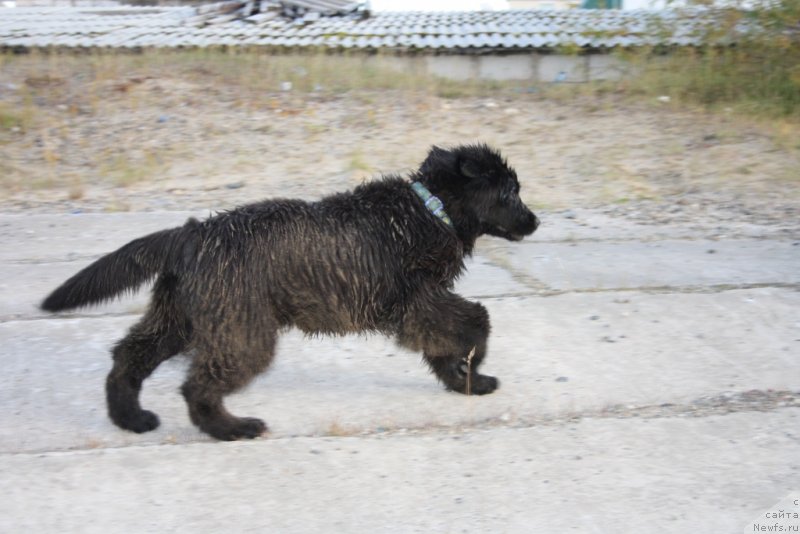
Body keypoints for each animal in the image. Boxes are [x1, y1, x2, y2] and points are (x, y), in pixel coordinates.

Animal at [45, 144, 544, 442]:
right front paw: (474, 370)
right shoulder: (418, 304)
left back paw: (130, 419)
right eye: (510, 192)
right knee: (196, 386)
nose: (536, 221)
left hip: (181, 318)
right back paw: (232, 428)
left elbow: (447, 343)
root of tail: (191, 233)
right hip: (243, 331)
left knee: (128, 356)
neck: (428, 208)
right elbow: (477, 320)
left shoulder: (422, 308)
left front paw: (462, 379)